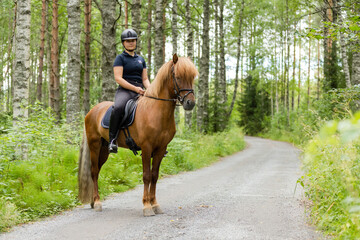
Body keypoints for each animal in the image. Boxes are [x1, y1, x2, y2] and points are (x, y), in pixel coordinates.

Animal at [77, 54, 198, 216]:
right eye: (178, 77)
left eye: (192, 77)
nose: (190, 103)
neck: (157, 111)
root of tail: (91, 111)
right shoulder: (146, 148)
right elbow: (146, 176)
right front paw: (147, 206)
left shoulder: (160, 149)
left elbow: (154, 176)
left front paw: (155, 204)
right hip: (94, 146)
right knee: (94, 172)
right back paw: (97, 202)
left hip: (103, 149)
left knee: (96, 171)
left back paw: (92, 201)